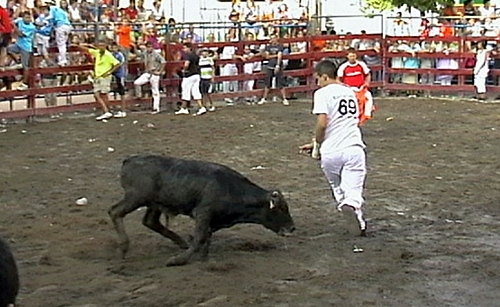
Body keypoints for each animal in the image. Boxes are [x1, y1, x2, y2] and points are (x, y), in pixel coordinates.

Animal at [108, 156, 294, 268]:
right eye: (281, 208)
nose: (292, 228)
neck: (231, 188)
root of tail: (129, 160)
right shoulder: (203, 213)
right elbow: (199, 238)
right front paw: (178, 260)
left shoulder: (211, 219)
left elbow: (205, 237)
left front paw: (204, 258)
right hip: (135, 198)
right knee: (115, 212)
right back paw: (124, 248)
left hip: (153, 204)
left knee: (150, 221)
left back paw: (181, 242)